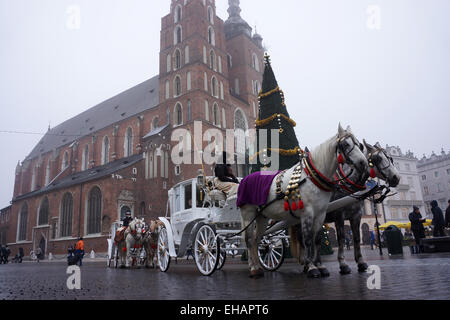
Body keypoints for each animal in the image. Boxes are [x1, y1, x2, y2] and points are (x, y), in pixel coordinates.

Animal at [239, 124, 370, 278]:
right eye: (345, 144)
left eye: (359, 144)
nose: (363, 163)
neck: (312, 178)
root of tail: (245, 179)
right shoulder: (308, 214)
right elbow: (307, 240)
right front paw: (312, 267)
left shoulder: (320, 215)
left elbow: (316, 239)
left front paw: (319, 266)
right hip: (248, 214)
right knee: (249, 240)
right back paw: (253, 267)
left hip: (262, 217)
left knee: (256, 239)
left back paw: (258, 267)